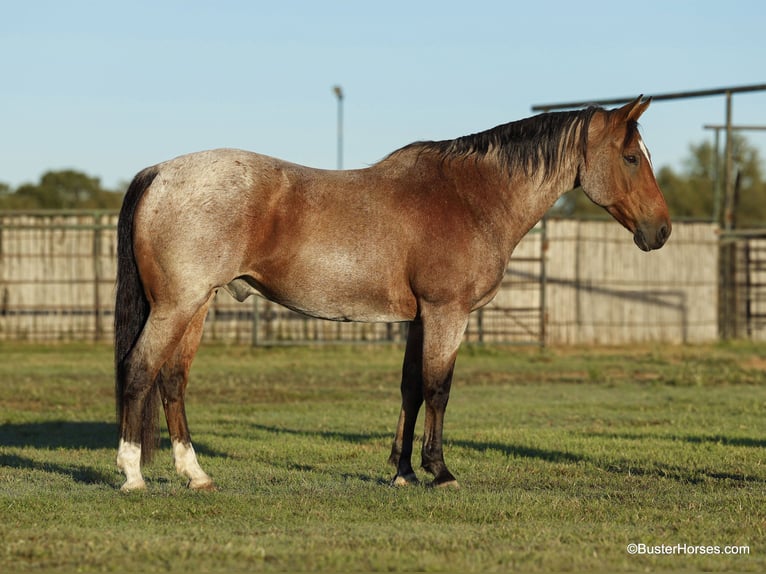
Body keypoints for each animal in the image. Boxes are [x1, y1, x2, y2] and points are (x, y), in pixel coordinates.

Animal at [114, 97, 672, 492]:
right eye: (630, 157)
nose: (661, 230)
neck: (471, 196)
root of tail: (160, 172)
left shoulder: (420, 318)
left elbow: (410, 388)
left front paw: (402, 471)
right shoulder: (447, 314)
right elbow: (439, 389)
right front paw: (440, 472)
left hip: (197, 305)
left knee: (172, 381)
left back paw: (195, 475)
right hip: (177, 306)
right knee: (140, 371)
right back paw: (133, 474)